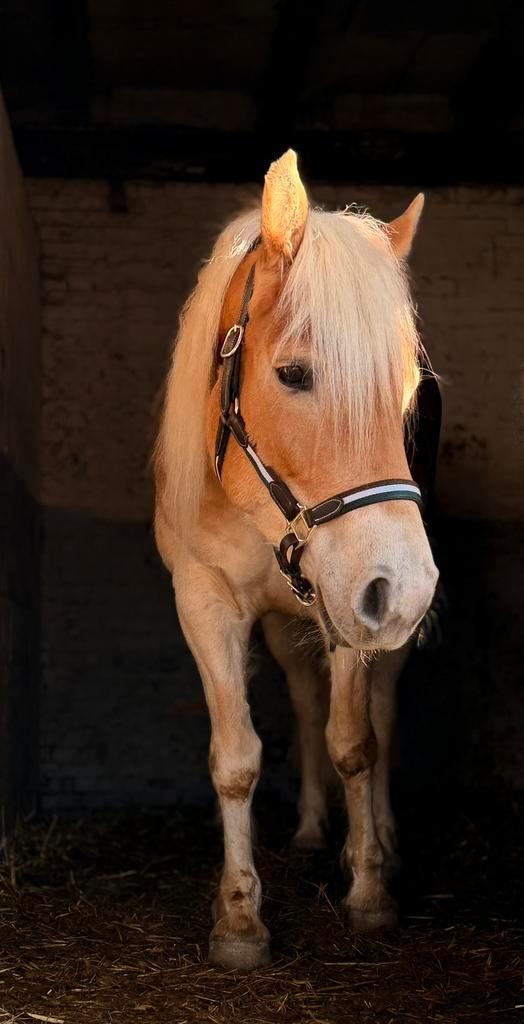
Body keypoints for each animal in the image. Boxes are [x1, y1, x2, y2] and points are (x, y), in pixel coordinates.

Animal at [154, 150, 439, 972]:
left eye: (410, 388)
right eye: (293, 374)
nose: (407, 591)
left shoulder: (353, 603)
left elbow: (356, 743)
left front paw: (369, 888)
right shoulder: (204, 600)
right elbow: (237, 757)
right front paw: (239, 918)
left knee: (380, 713)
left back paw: (379, 840)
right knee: (307, 701)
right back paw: (315, 831)